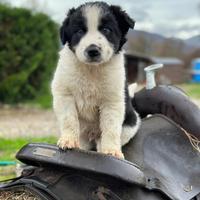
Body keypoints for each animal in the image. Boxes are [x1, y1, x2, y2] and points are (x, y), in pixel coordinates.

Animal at [52, 1, 141, 158]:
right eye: (79, 31)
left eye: (106, 30)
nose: (92, 50)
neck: (92, 70)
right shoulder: (64, 94)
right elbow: (69, 119)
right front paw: (68, 140)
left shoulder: (112, 101)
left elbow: (111, 127)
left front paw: (111, 151)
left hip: (131, 123)